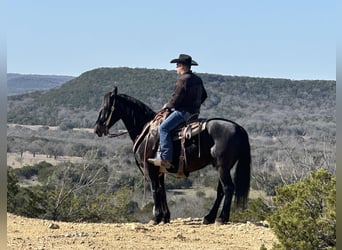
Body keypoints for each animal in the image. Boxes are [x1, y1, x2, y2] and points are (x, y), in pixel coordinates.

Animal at [93, 88, 251, 225]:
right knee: (221, 190)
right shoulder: (160, 170)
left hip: (222, 167)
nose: (97, 129)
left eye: (106, 107)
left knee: (228, 188)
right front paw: (165, 217)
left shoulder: (150, 168)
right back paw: (209, 217)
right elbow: (162, 191)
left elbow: (155, 190)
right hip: (222, 167)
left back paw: (221, 218)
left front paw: (156, 218)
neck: (144, 130)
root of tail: (238, 127)